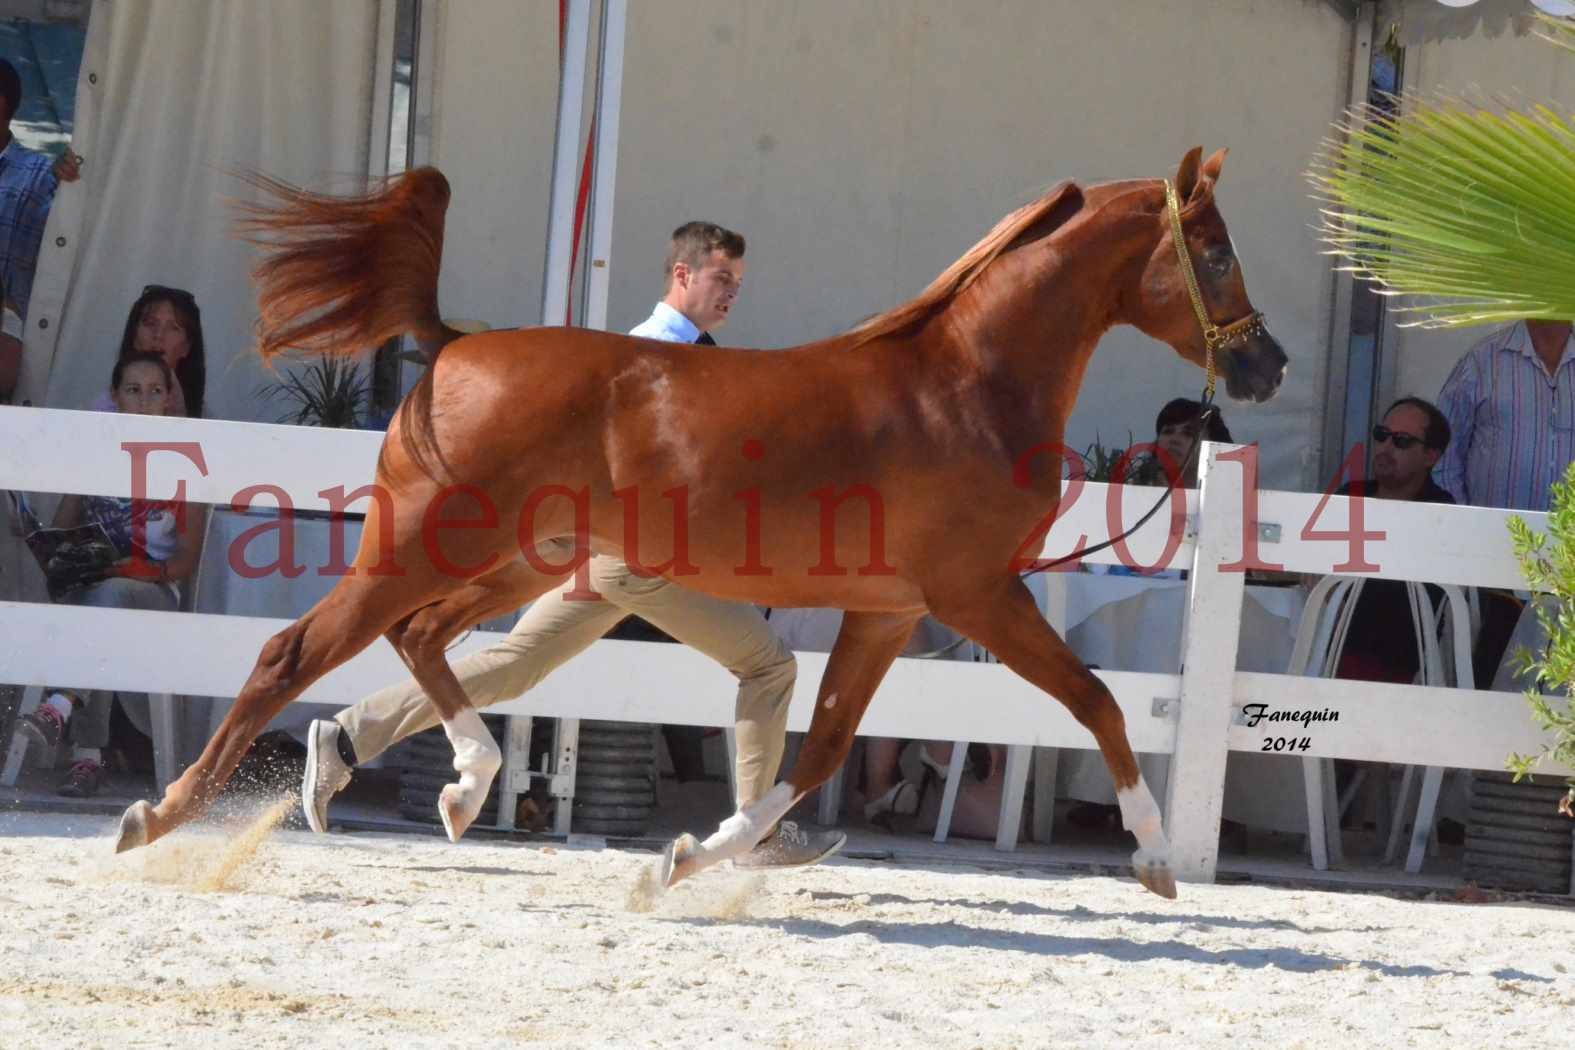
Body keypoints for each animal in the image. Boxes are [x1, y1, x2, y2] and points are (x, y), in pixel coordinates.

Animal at [119, 145, 1278, 906]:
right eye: (1216, 253)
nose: (1266, 366)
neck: (963, 387)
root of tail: (452, 344)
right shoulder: (978, 594)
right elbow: (1099, 703)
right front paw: (1156, 858)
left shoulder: (890, 613)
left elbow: (820, 748)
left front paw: (690, 860)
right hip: (418, 545)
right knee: (295, 652)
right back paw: (163, 817)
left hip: (518, 562)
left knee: (425, 640)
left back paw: (458, 784)